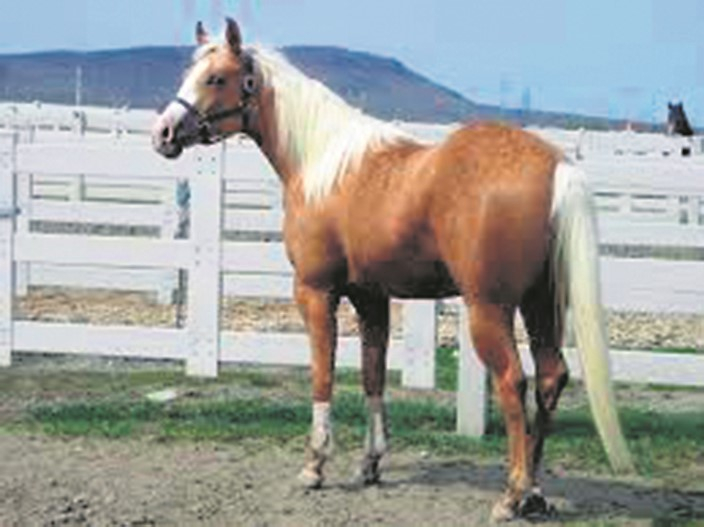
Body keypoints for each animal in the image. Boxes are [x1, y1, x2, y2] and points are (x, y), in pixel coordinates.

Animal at [152, 18, 634, 521]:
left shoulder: (315, 292)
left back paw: (511, 494)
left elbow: (322, 373)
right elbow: (373, 373)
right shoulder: (371, 298)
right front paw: (370, 462)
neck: (322, 165)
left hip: (489, 309)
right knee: (550, 378)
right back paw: (534, 492)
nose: (163, 132)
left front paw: (315, 465)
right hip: (541, 304)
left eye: (216, 78)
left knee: (512, 382)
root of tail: (554, 165)